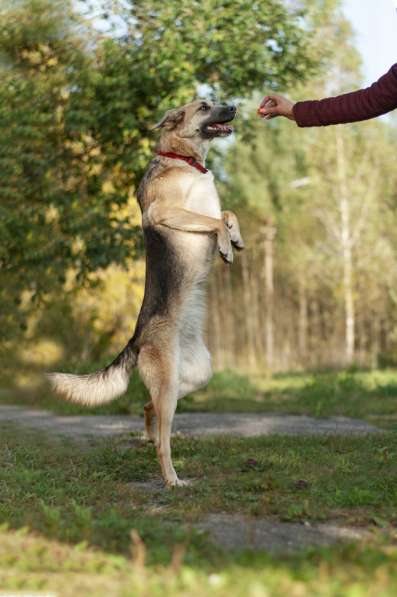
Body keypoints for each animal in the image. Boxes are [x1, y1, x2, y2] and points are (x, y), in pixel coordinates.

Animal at [48, 100, 243, 486]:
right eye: (204, 106)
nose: (233, 106)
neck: (184, 159)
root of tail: (138, 337)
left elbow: (227, 213)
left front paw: (236, 237)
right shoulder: (166, 211)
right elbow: (214, 220)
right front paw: (225, 246)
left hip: (193, 377)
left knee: (148, 406)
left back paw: (151, 434)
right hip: (169, 385)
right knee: (163, 442)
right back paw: (171, 479)